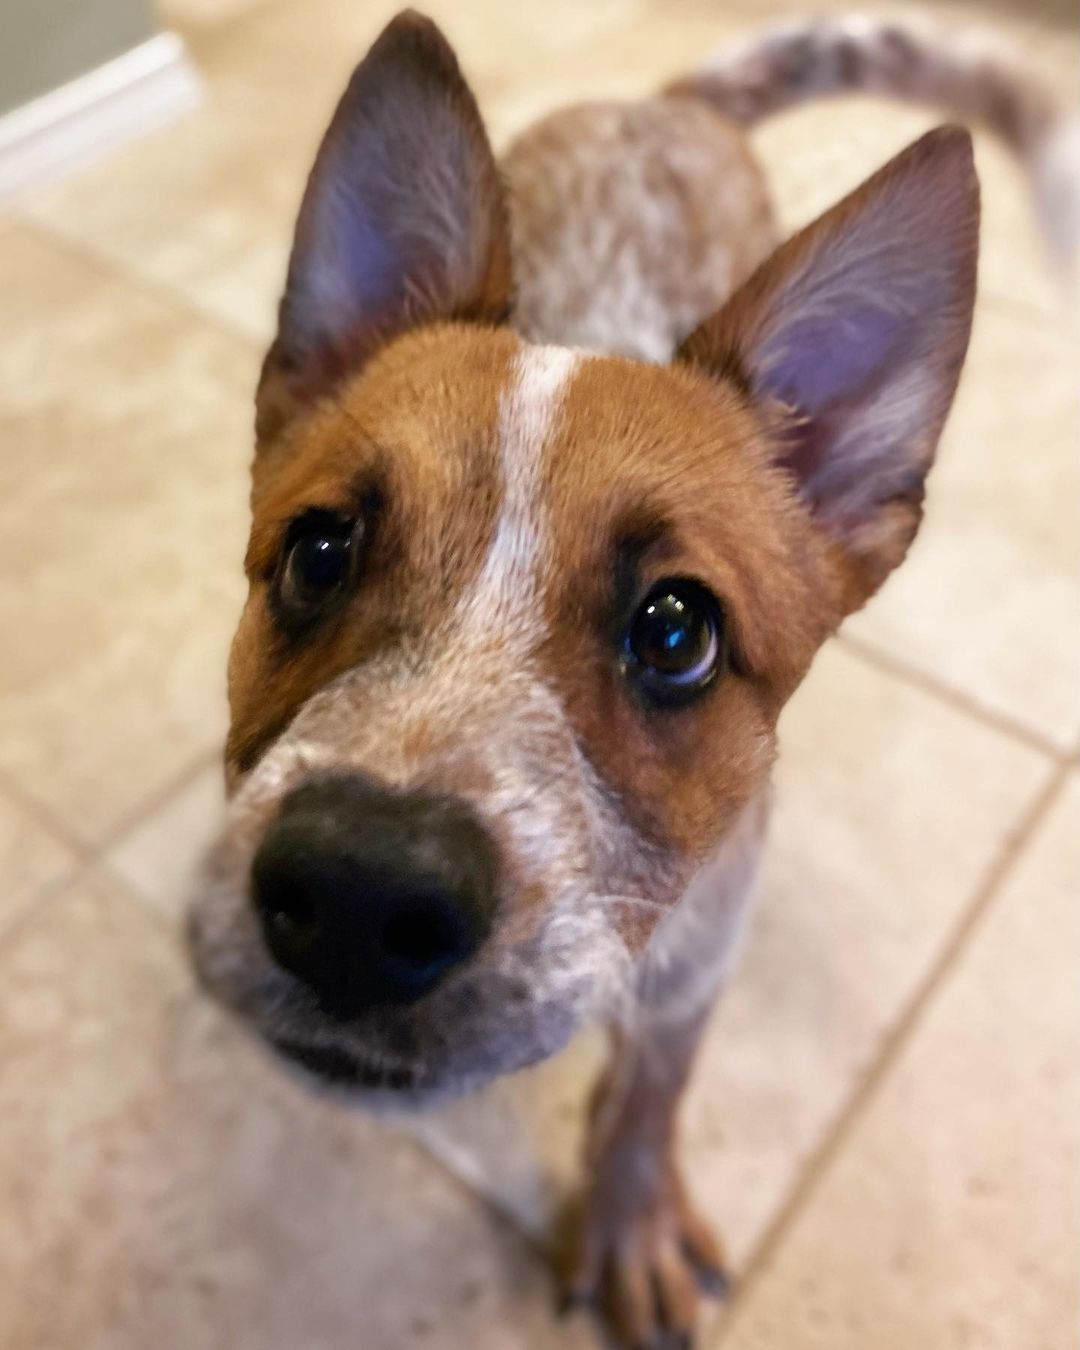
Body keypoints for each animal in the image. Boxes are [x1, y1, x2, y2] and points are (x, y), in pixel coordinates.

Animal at [190, 13, 1074, 1350]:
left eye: (675, 632)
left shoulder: (701, 961)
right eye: (319, 550)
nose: (357, 892)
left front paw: (629, 1211)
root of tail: (672, 104)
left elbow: (658, 1090)